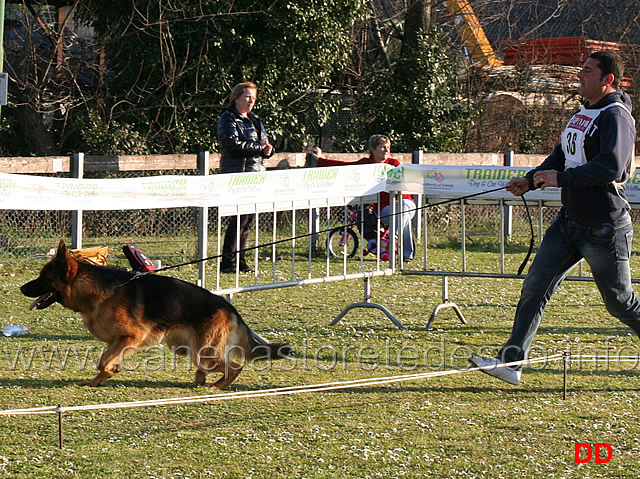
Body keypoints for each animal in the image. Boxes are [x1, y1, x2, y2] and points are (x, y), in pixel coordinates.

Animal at [20, 240, 290, 390]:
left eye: (44, 278)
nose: (21, 289)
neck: (98, 290)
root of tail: (230, 308)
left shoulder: (132, 336)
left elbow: (103, 361)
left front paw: (110, 372)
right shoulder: (117, 341)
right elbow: (105, 359)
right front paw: (99, 380)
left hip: (204, 352)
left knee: (234, 367)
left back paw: (216, 386)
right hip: (186, 348)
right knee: (209, 368)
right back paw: (201, 379)